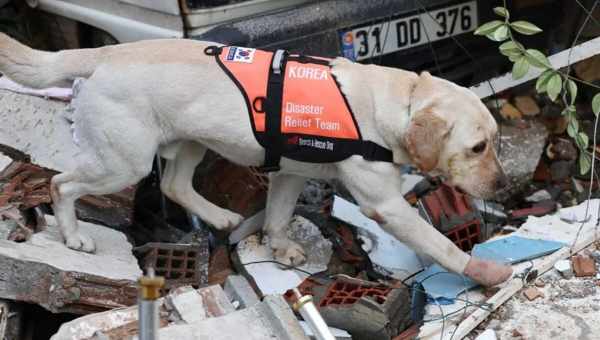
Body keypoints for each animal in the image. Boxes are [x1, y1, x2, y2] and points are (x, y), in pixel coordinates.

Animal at [0, 34, 512, 286]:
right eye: (477, 147)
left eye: (493, 141)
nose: (502, 187)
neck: (399, 103)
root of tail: (105, 53)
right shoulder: (385, 206)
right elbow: (440, 245)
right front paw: (483, 272)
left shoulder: (288, 173)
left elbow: (279, 217)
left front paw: (278, 246)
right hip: (123, 162)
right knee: (62, 184)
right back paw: (73, 236)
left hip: (190, 142)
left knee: (173, 185)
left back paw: (223, 218)